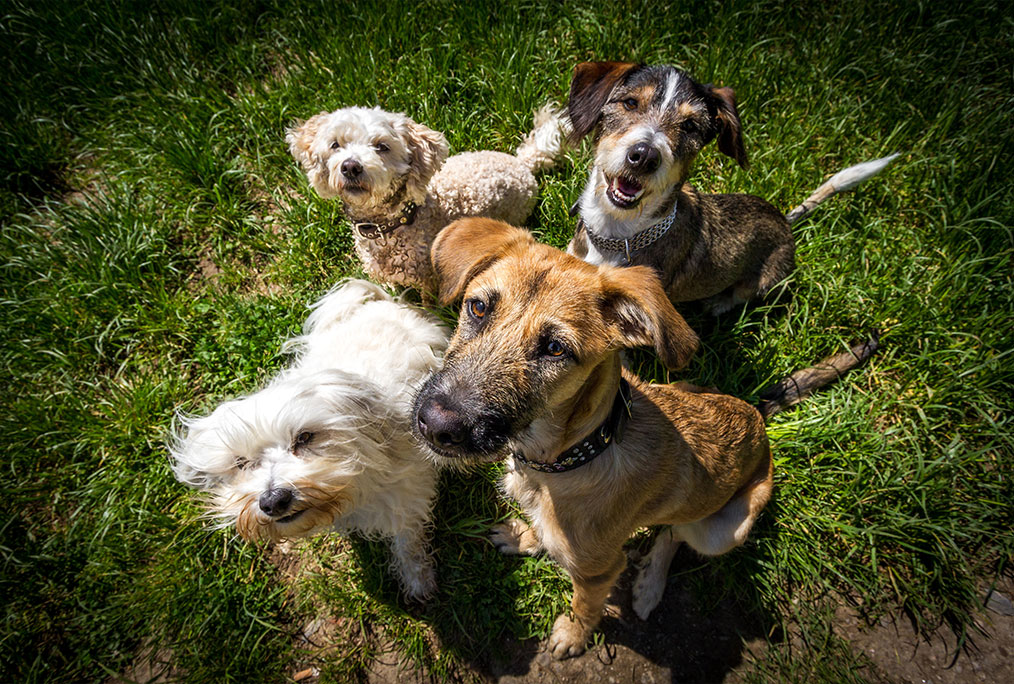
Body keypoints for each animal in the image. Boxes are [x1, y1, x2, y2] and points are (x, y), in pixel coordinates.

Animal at [172, 277, 450, 599]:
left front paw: (417, 578)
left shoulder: (406, 498)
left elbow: (408, 543)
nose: (273, 500)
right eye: (241, 462)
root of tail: (379, 302)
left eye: (305, 437)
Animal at [411, 217, 880, 656]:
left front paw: (572, 637)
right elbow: (546, 533)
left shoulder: (599, 572)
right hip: (686, 387)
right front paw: (526, 535)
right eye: (478, 308)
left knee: (674, 533)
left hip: (723, 531)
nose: (437, 423)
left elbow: (585, 605)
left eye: (556, 349)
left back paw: (649, 586)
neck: (572, 454)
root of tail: (758, 415)